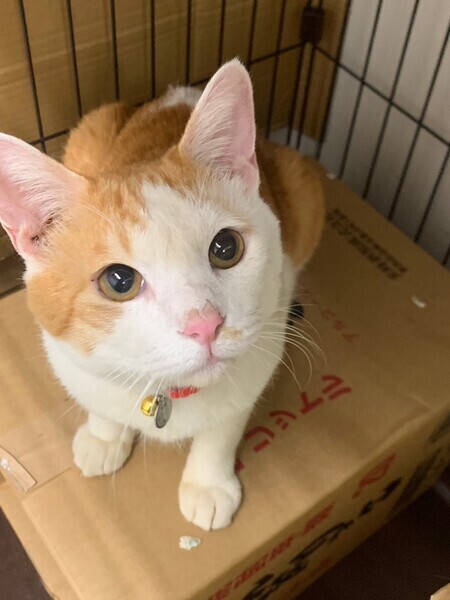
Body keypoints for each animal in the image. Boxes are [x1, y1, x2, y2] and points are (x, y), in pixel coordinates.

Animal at [0, 59, 323, 530]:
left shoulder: (259, 358)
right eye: (119, 281)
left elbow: (223, 428)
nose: (205, 324)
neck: (172, 391)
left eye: (226, 248)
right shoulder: (73, 361)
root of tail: (178, 91)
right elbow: (99, 401)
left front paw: (208, 484)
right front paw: (103, 437)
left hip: (303, 189)